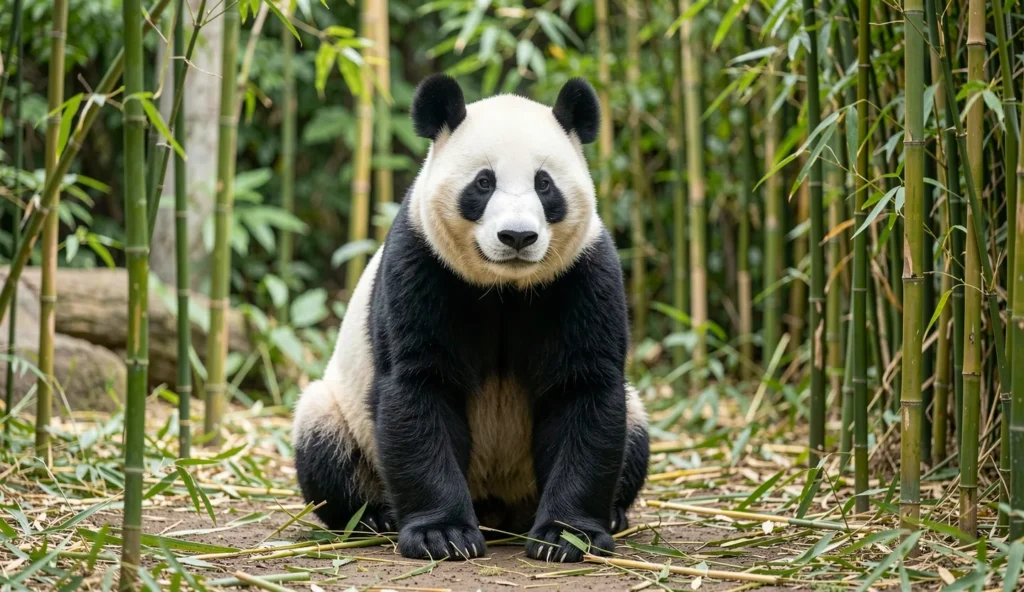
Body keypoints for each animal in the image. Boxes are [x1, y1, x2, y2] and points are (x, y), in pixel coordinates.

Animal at [292, 74, 650, 563]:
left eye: (544, 184)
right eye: (483, 183)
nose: (517, 236)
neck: (505, 287)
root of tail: (497, 505)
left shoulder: (581, 275)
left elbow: (584, 392)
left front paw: (566, 538)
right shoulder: (422, 264)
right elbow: (419, 389)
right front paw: (441, 535)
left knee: (633, 434)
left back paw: (612, 513)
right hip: (341, 414)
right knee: (324, 446)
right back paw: (373, 517)